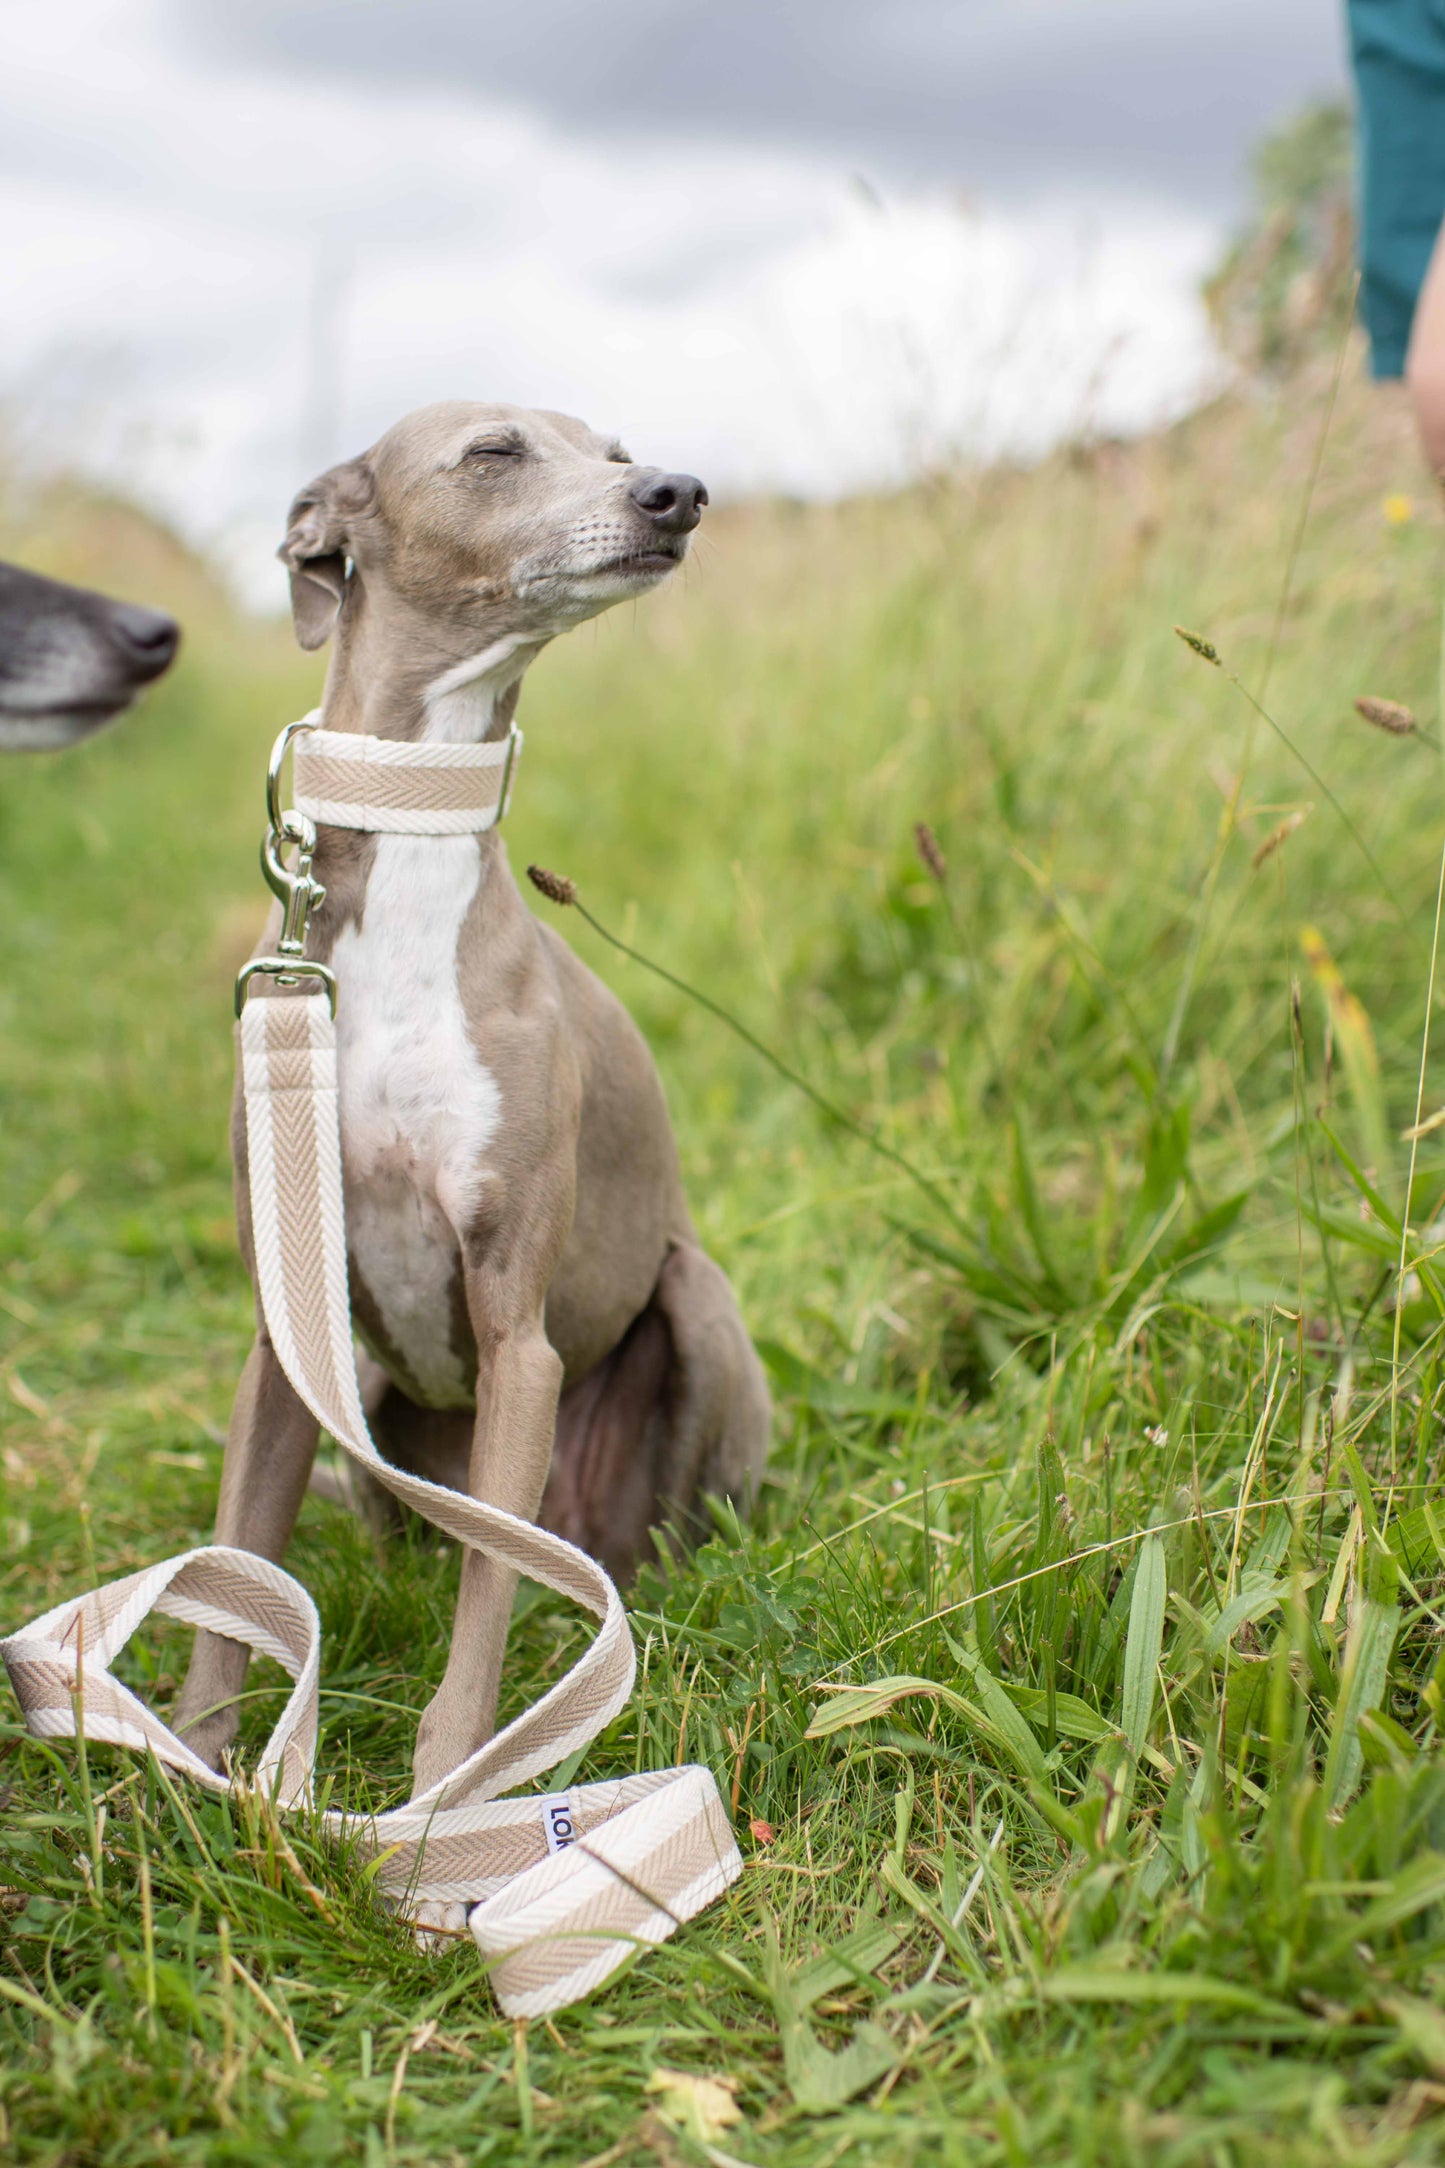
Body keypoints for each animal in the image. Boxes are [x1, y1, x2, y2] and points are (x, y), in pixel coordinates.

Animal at [176, 403, 775, 1795]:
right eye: (494, 450)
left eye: (611, 449)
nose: (676, 492)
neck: (410, 874)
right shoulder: (282, 1332)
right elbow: (238, 1571)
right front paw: (191, 1761)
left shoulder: (518, 1334)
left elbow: (485, 1608)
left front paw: (445, 1794)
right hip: (365, 1395)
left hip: (691, 1308)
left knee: (616, 1545)